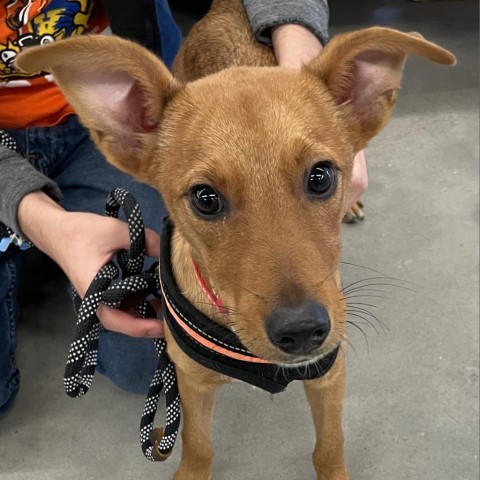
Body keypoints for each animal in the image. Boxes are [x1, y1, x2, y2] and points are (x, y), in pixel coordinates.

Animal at [15, 1, 456, 478]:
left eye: (321, 176)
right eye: (205, 199)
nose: (302, 330)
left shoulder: (329, 374)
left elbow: (330, 445)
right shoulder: (190, 382)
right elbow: (197, 445)